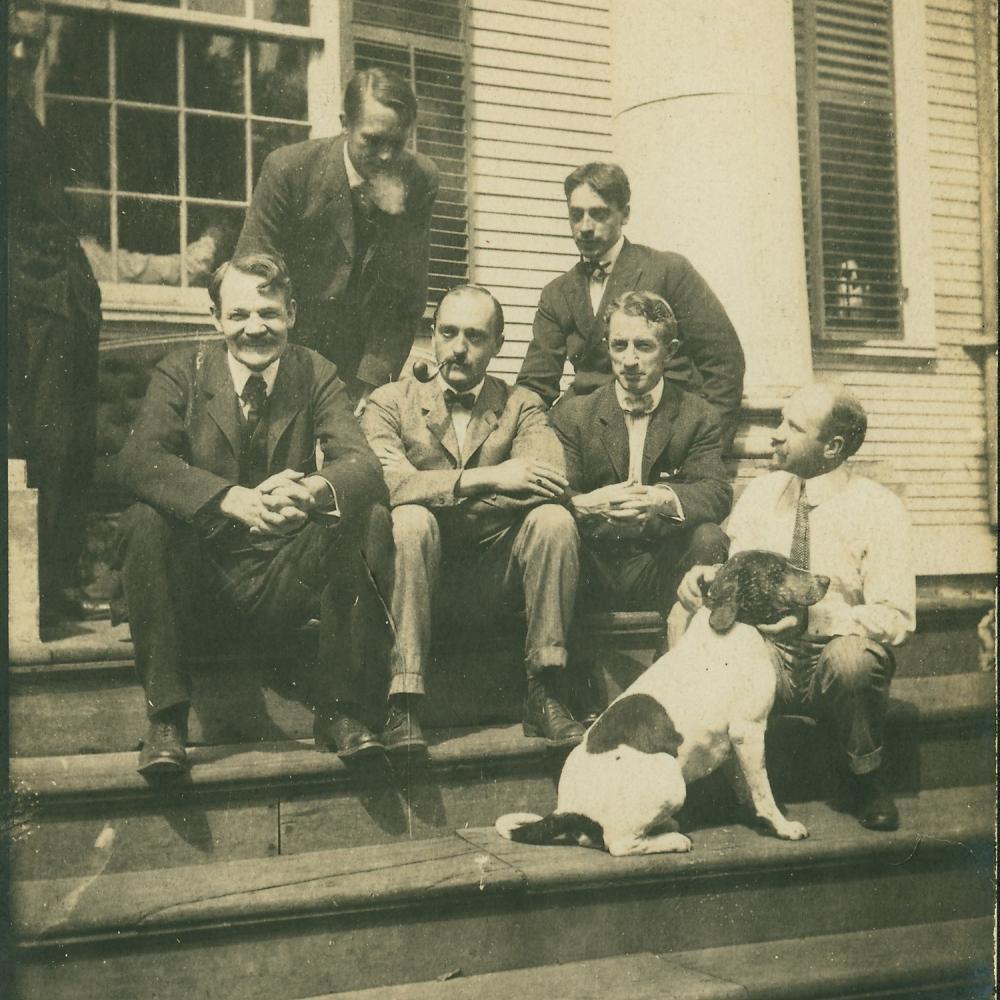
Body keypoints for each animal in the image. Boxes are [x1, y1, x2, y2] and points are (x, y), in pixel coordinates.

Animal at [496, 552, 832, 856]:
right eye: (778, 570)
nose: (826, 580)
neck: (734, 623)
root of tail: (568, 810)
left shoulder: (737, 743)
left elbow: (746, 786)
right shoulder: (748, 731)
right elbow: (763, 790)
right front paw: (783, 826)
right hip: (670, 776)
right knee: (618, 844)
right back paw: (673, 840)